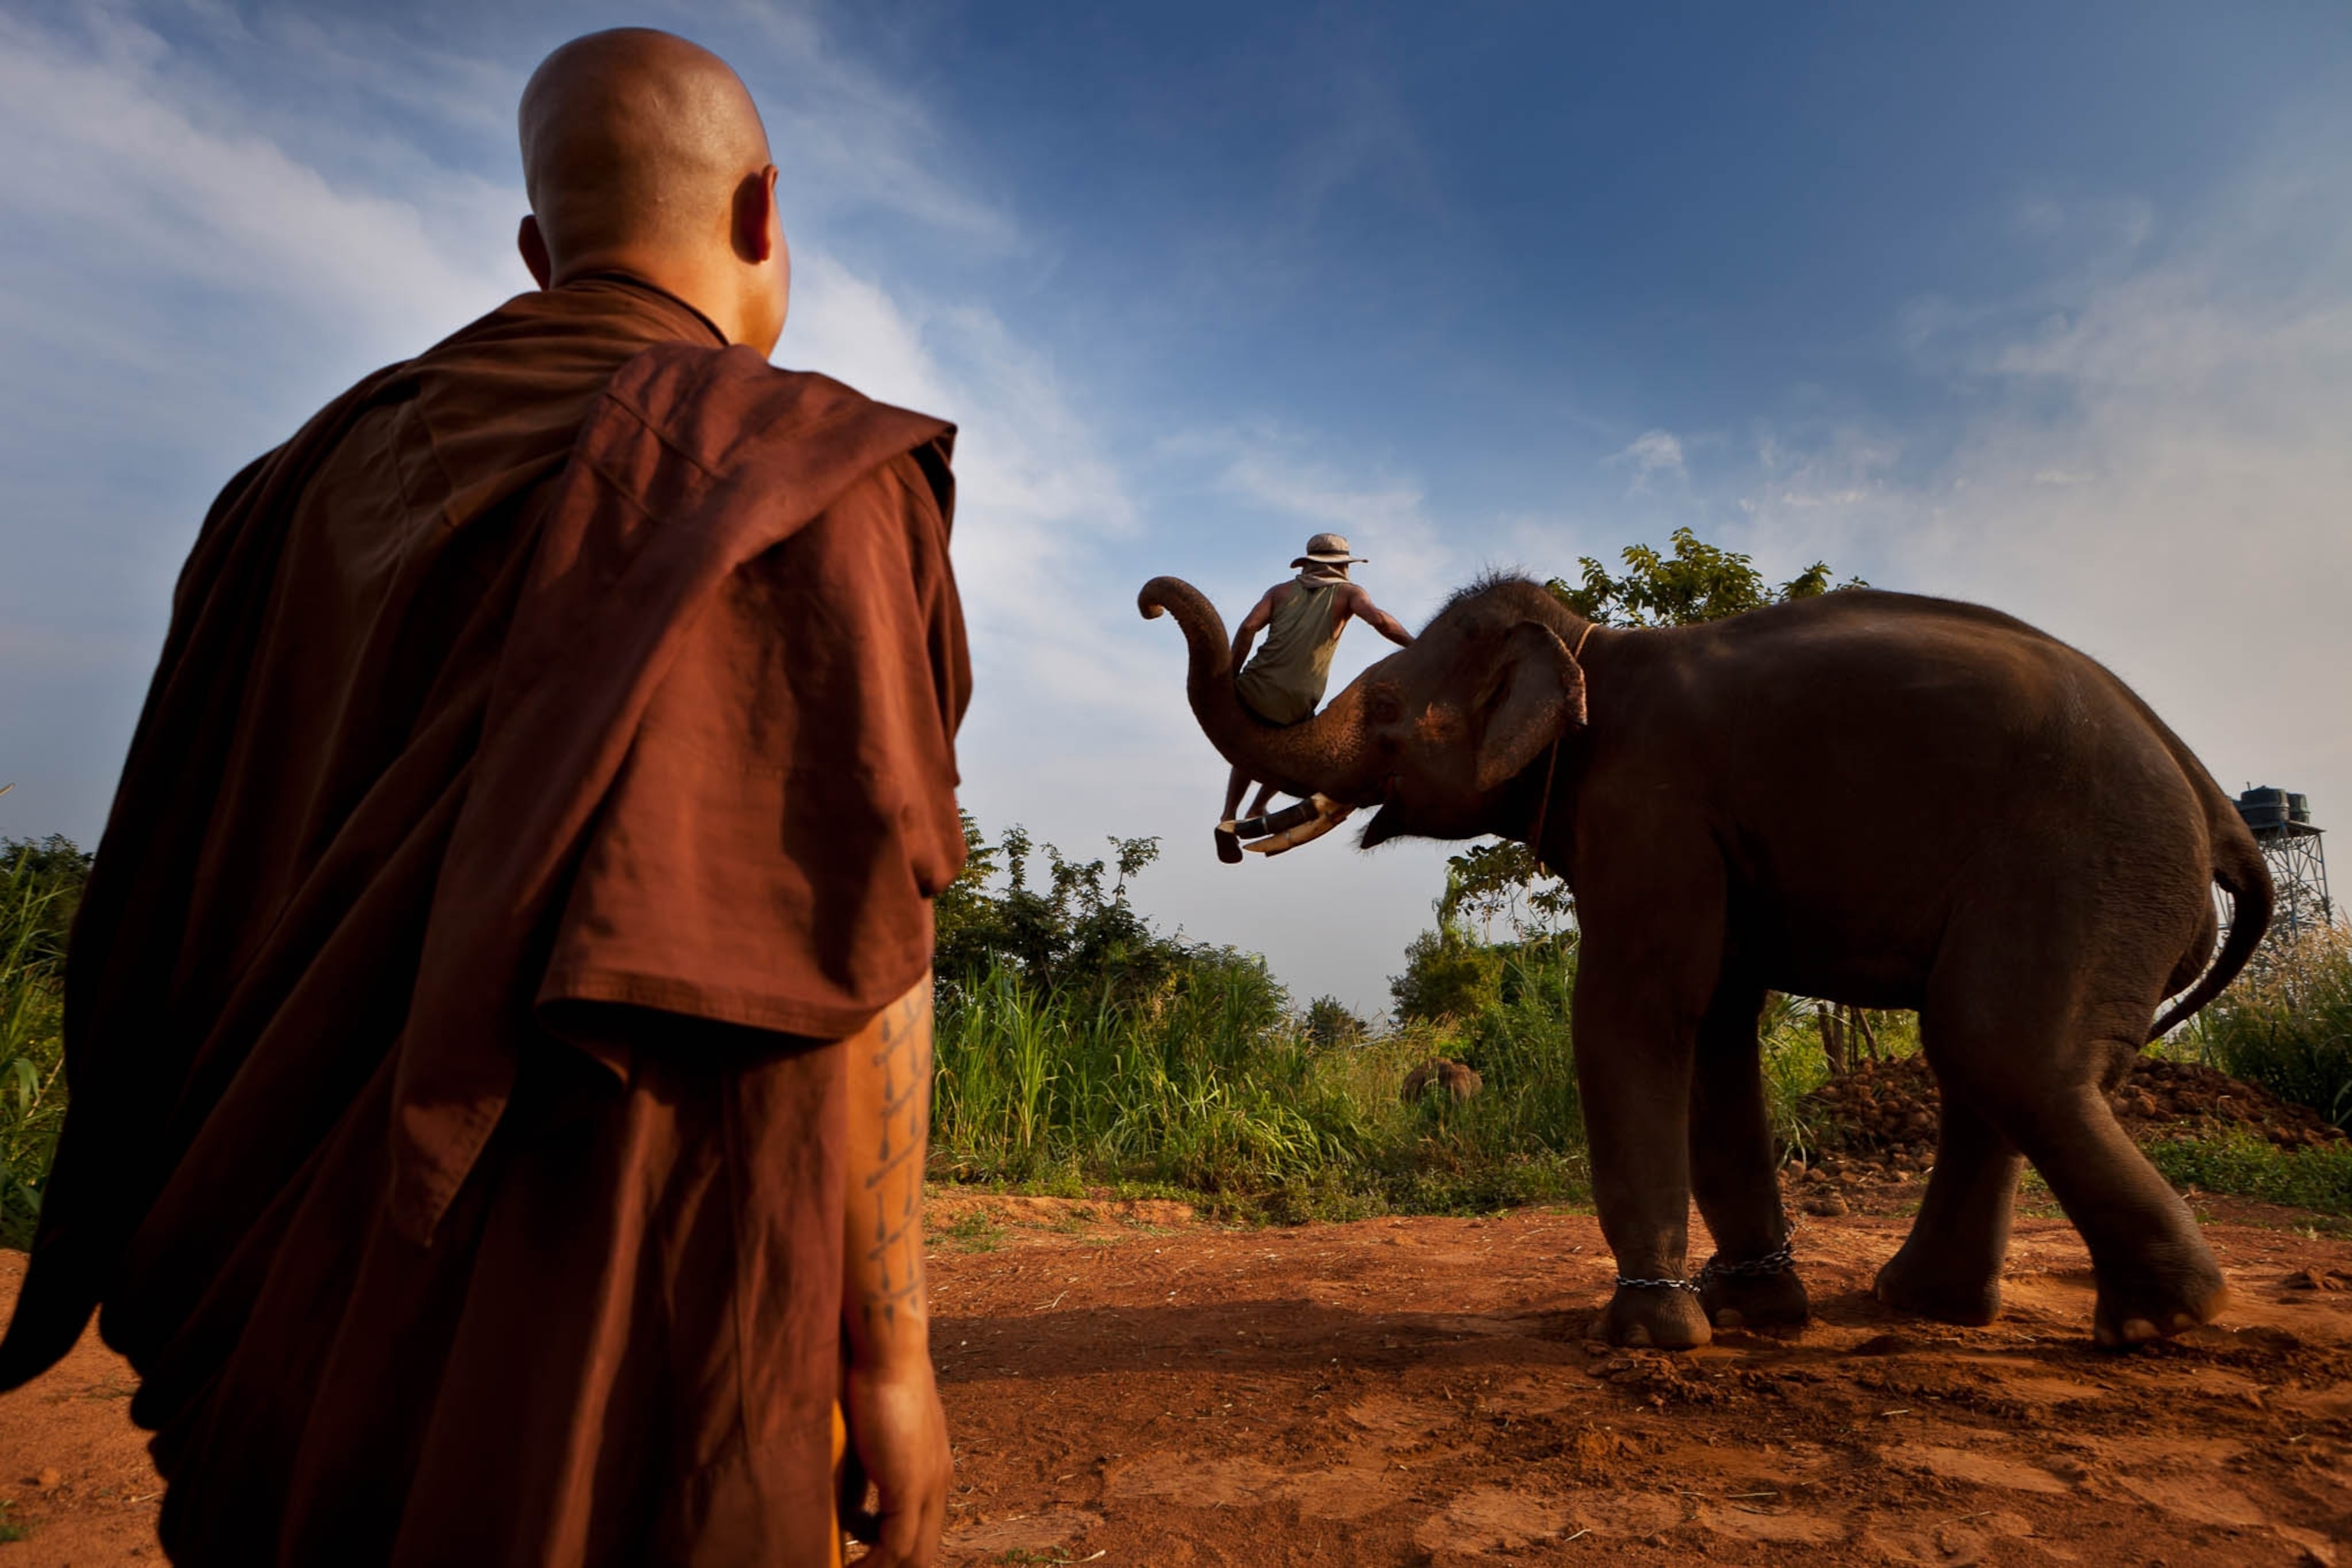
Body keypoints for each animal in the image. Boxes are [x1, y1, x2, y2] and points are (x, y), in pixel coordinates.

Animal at [1142, 571, 2276, 1354]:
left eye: (1382, 717)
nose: (1152, 602)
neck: (1588, 647)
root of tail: (2220, 812)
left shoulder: (1650, 803)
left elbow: (1638, 1009)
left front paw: (1652, 1336)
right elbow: (1721, 1024)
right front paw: (1753, 1311)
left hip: (2090, 864)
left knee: (1999, 1047)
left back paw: (2168, 1320)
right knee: (1990, 1061)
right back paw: (1932, 1306)